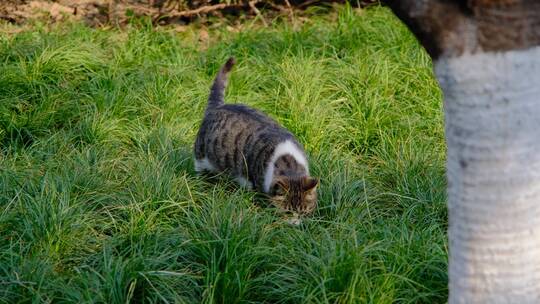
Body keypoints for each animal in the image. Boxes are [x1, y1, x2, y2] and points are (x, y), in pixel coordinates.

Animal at [194, 56, 318, 214]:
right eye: (287, 212)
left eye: (304, 212)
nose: (296, 221)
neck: (289, 163)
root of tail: (217, 107)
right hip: (201, 154)